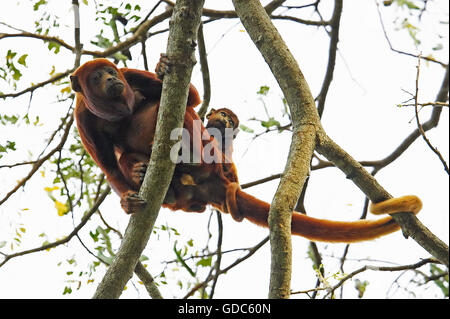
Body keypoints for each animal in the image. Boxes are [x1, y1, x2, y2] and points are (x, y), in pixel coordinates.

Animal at [70, 58, 422, 244]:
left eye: (112, 71)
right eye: (98, 76)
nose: (111, 78)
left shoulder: (131, 76)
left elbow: (192, 98)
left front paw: (163, 67)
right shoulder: (83, 115)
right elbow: (109, 168)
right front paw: (128, 200)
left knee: (178, 111)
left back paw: (187, 155)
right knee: (128, 161)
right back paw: (150, 177)